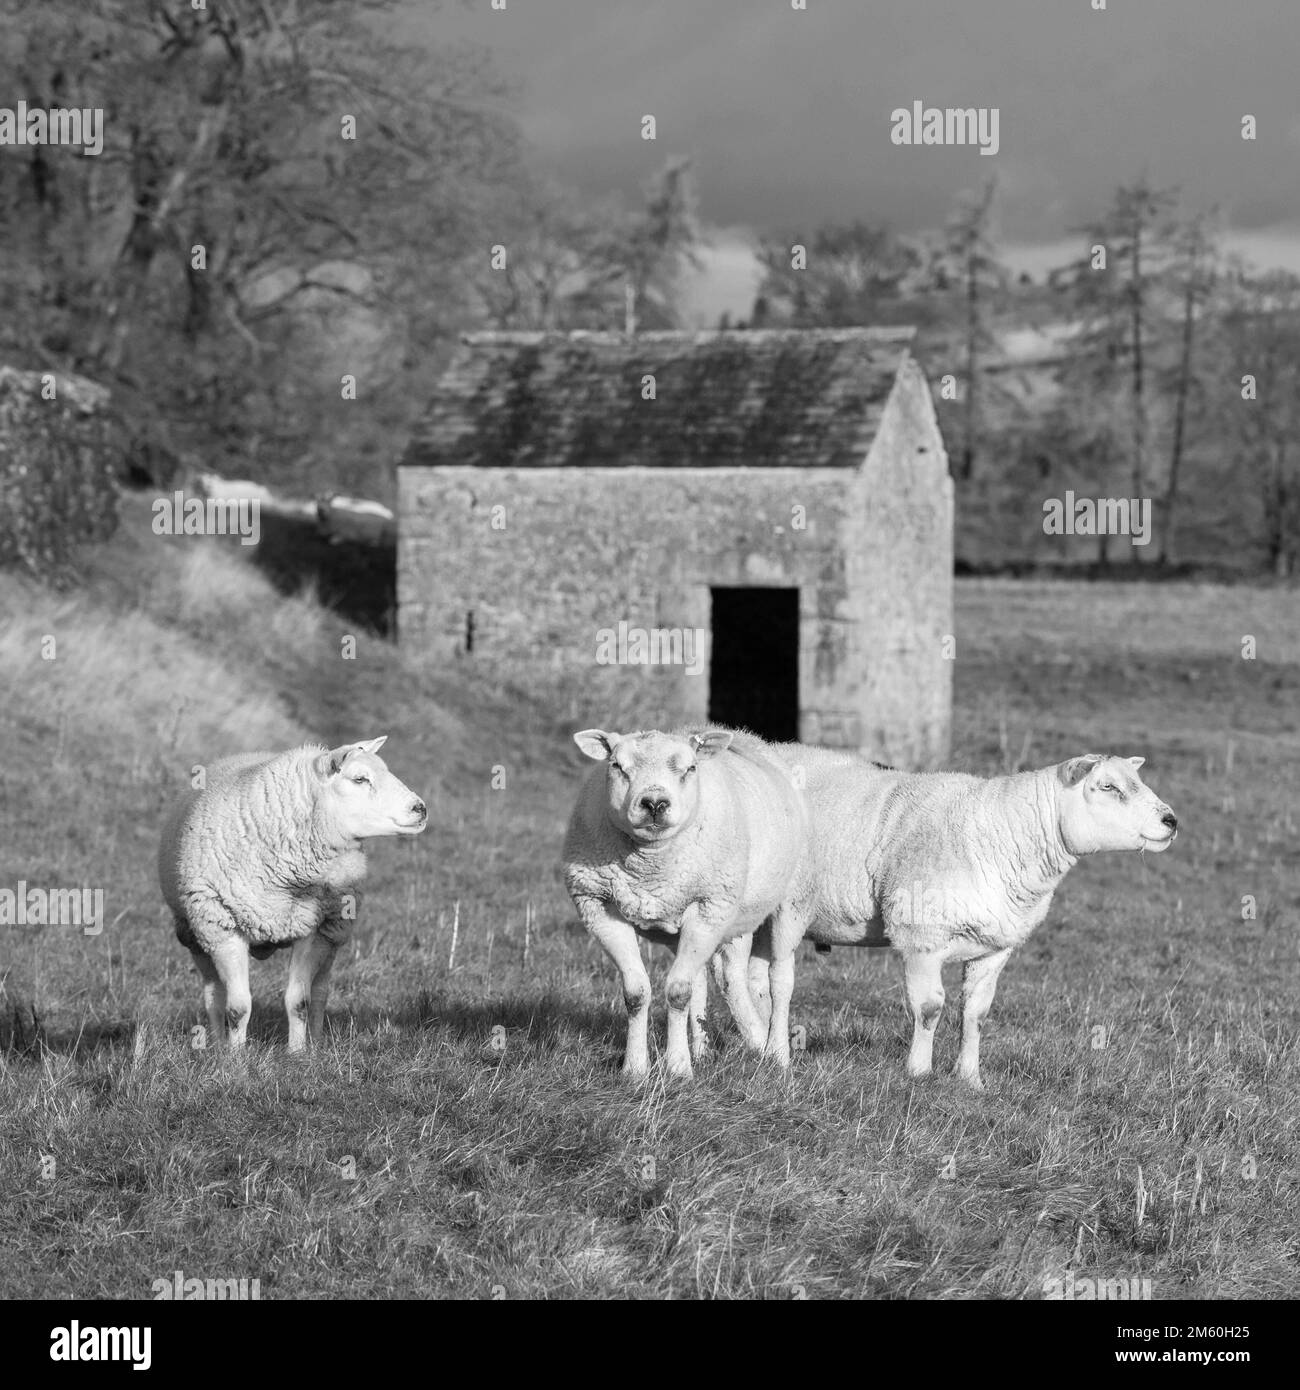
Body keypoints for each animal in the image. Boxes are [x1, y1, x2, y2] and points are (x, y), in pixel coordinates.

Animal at [158, 736, 427, 1051]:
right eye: (360, 778)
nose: (420, 808)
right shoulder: (223, 928)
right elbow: (237, 1007)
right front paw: (235, 1057)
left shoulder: (310, 928)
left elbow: (299, 1001)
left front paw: (297, 1053)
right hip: (196, 935)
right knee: (214, 994)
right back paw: (216, 1043)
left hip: (333, 931)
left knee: (320, 992)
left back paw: (318, 1042)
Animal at [562, 726, 810, 1079]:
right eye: (617, 766)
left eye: (690, 768)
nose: (654, 803)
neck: (650, 867)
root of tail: (743, 735)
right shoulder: (599, 906)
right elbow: (637, 994)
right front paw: (635, 1069)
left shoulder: (708, 907)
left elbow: (678, 993)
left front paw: (678, 1068)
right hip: (716, 919)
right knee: (717, 979)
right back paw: (718, 1049)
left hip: (782, 904)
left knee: (774, 980)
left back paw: (774, 1052)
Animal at [734, 749, 1178, 1088]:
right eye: (1108, 787)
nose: (1171, 821)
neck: (1005, 834)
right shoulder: (920, 935)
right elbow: (930, 1008)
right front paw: (918, 1072)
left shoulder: (994, 946)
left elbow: (976, 1014)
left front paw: (970, 1079)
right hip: (783, 904)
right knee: (774, 979)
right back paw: (777, 1053)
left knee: (748, 976)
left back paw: (754, 1043)